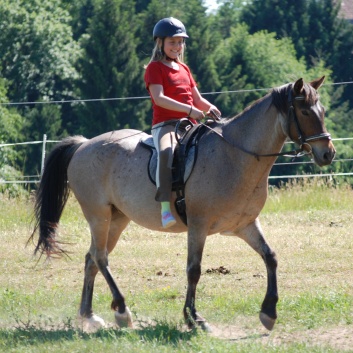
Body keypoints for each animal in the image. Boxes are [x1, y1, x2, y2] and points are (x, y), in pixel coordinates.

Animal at [29, 75, 332, 332]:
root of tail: (84, 144)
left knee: (92, 258)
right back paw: (122, 311)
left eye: (323, 111)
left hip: (117, 219)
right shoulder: (198, 226)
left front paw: (268, 313)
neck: (234, 155)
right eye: (305, 112)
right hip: (98, 216)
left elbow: (270, 257)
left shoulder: (244, 225)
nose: (328, 153)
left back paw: (89, 316)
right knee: (101, 257)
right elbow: (194, 270)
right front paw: (194, 318)